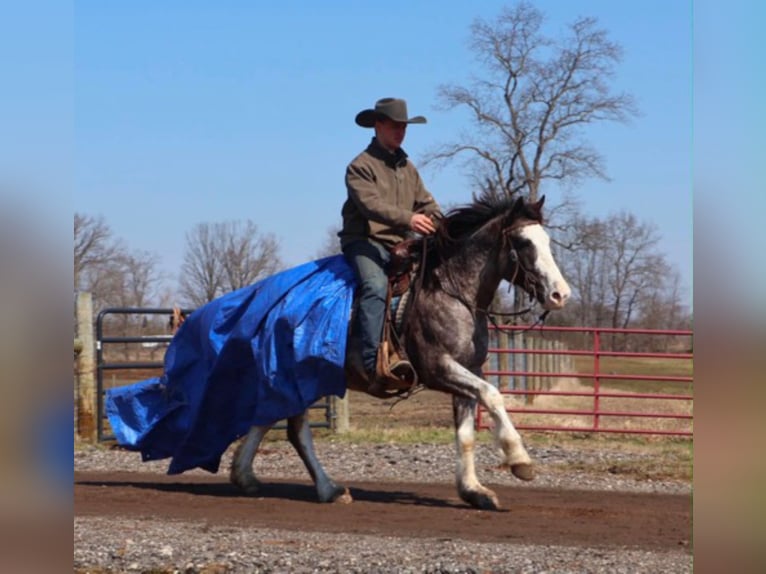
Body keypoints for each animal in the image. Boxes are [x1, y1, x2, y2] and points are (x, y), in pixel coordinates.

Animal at [230, 193, 571, 510]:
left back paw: (245, 476)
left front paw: (474, 491)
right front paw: (519, 460)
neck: (452, 292)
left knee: (267, 419)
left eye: (546, 240)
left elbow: (466, 435)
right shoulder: (439, 369)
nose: (560, 294)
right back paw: (329, 489)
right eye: (523, 242)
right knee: (296, 430)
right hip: (303, 379)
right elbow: (492, 395)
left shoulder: (467, 371)